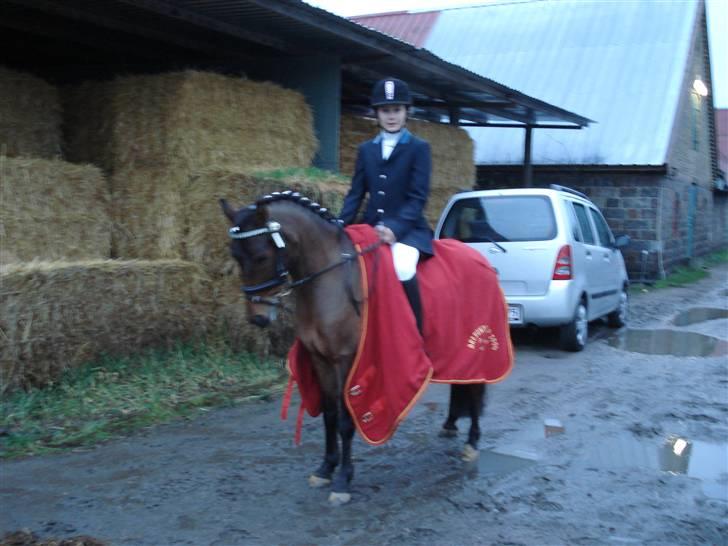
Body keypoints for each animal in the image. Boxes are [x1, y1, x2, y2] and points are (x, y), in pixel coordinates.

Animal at [222, 190, 484, 502]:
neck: (327, 281)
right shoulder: (320, 359)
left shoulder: (347, 360)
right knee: (464, 383)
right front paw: (325, 468)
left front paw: (343, 480)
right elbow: (330, 415)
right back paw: (452, 425)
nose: (258, 318)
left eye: (262, 256)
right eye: (235, 256)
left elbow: (346, 420)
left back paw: (472, 443)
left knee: (477, 388)